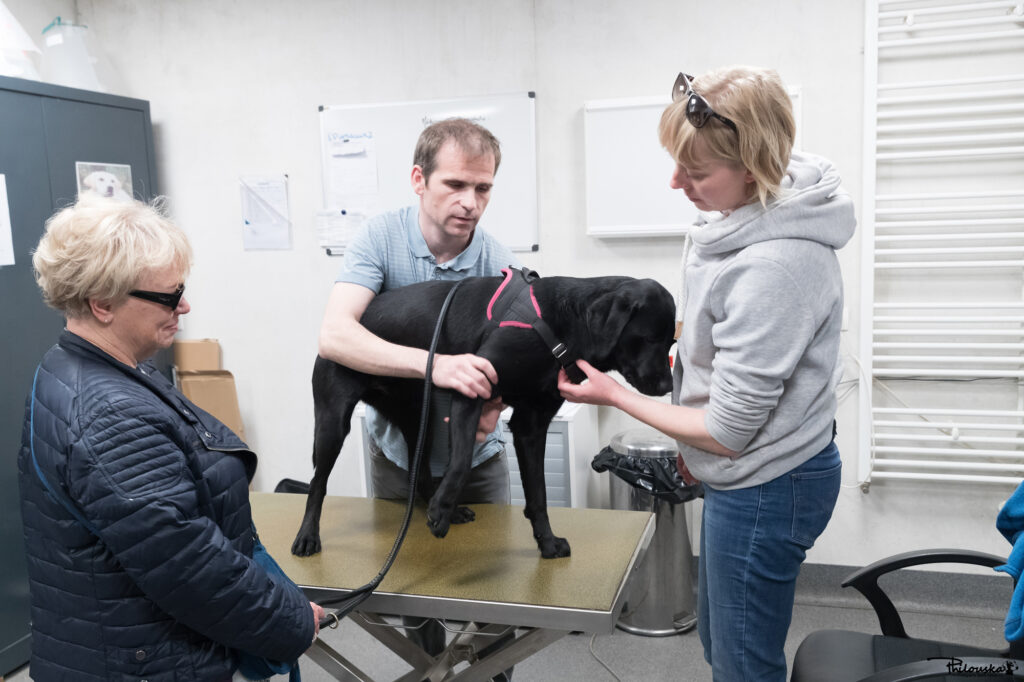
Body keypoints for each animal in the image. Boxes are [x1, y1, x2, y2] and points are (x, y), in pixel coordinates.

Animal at [290, 270, 671, 557]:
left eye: (670, 341)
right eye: (650, 338)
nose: (668, 385)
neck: (561, 324)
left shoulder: (531, 425)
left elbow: (539, 495)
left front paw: (547, 544)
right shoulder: (470, 386)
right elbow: (459, 463)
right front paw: (441, 512)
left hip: (418, 418)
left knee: (419, 471)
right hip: (332, 423)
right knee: (317, 484)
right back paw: (308, 535)